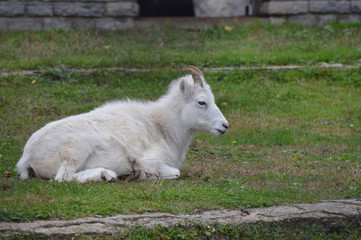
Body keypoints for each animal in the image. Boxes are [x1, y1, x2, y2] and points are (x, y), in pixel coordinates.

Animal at [16, 65, 228, 182]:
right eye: (202, 102)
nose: (224, 126)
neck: (159, 127)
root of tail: (27, 158)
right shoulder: (150, 161)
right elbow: (175, 172)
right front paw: (142, 175)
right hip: (76, 149)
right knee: (63, 177)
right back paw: (108, 175)